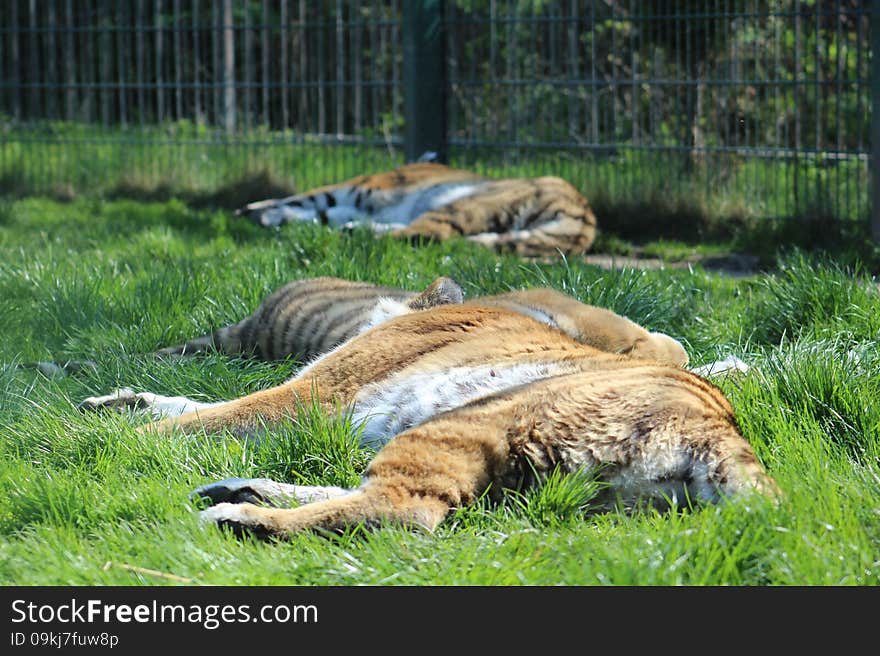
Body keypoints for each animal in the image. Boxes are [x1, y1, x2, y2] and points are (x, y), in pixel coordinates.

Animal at [237, 160, 600, 258]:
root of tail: (585, 213)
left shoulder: (356, 188)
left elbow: (302, 200)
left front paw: (254, 212)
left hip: (464, 205)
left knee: (428, 233)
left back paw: (353, 235)